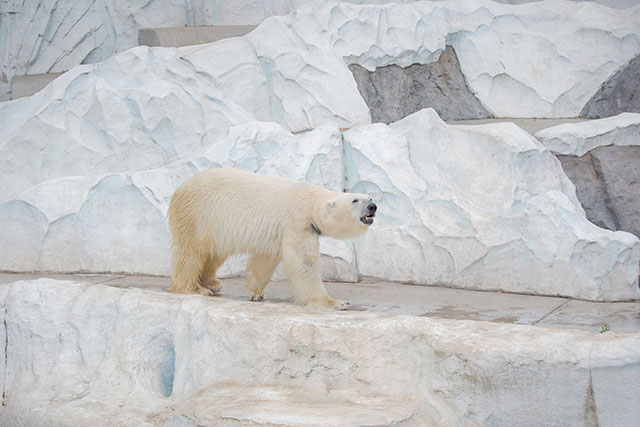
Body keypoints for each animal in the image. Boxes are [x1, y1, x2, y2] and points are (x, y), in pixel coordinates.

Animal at [166, 168, 376, 310]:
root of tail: (179, 189)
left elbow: (266, 260)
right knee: (192, 252)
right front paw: (336, 302)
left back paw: (211, 282)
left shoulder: (278, 233)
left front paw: (256, 292)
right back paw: (194, 288)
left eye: (370, 197)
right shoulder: (297, 223)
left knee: (214, 253)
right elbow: (304, 263)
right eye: (355, 200)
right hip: (197, 214)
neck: (309, 201)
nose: (373, 206)